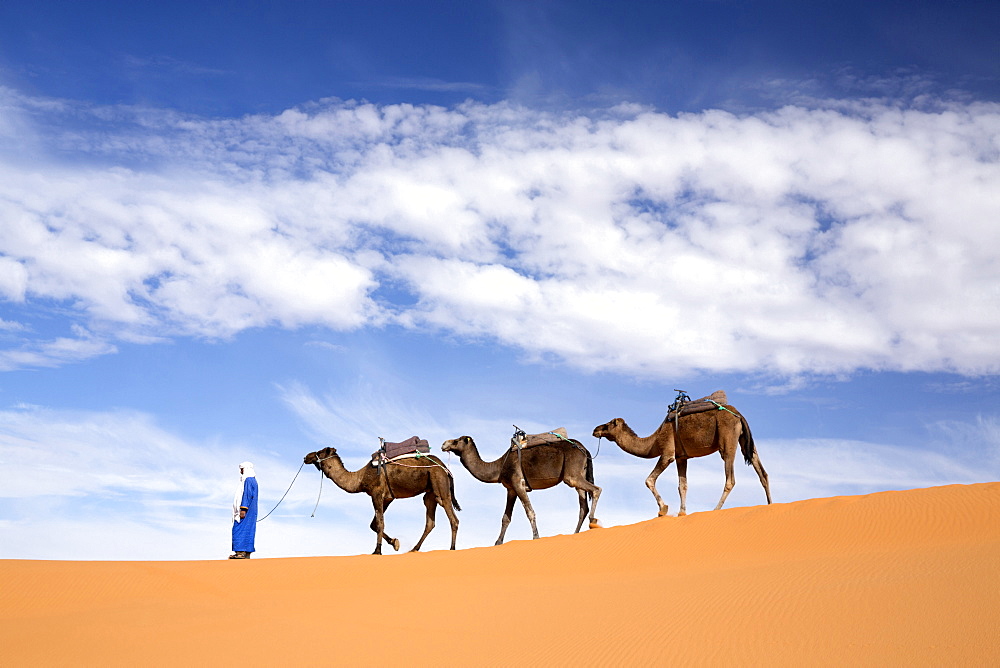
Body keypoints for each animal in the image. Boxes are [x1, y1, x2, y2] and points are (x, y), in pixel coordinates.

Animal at [302, 448, 462, 552]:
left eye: (319, 452)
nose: (306, 457)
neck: (360, 478)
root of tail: (445, 468)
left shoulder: (377, 493)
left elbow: (379, 524)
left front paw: (377, 551)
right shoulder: (387, 498)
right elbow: (374, 524)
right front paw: (395, 543)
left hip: (439, 483)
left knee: (453, 518)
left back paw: (452, 548)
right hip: (430, 494)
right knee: (430, 522)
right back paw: (414, 549)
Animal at [440, 434, 596, 548]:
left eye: (456, 441)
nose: (444, 444)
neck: (499, 466)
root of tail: (585, 450)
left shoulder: (518, 483)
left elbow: (530, 512)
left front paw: (536, 537)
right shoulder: (511, 489)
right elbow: (506, 518)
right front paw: (498, 543)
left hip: (572, 475)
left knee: (596, 490)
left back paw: (592, 522)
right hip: (578, 476)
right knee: (583, 506)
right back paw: (575, 533)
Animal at [592, 402, 772, 516]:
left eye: (608, 425)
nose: (595, 430)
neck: (654, 441)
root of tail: (739, 415)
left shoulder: (668, 453)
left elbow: (649, 480)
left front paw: (663, 509)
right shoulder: (681, 457)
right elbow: (682, 485)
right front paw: (682, 512)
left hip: (727, 441)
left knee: (730, 479)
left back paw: (715, 509)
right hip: (745, 441)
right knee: (762, 472)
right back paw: (770, 504)